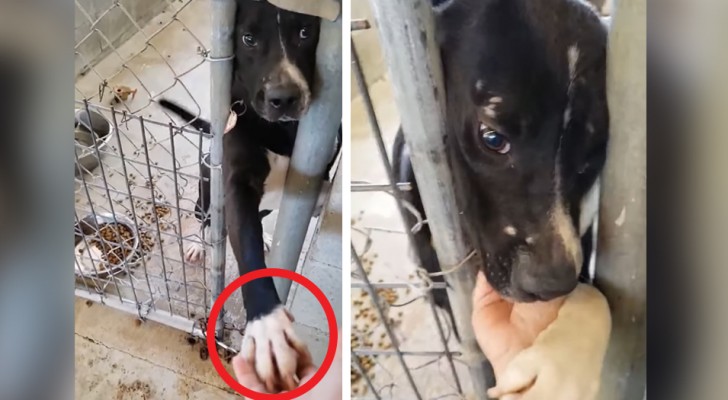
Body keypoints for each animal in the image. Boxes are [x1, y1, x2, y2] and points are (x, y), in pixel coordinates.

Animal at [160, 0, 342, 392]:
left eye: (305, 32)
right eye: (247, 39)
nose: (283, 98)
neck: (281, 131)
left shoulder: (324, 158)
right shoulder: (237, 187)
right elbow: (246, 247)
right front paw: (269, 327)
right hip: (205, 198)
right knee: (207, 222)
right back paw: (199, 244)